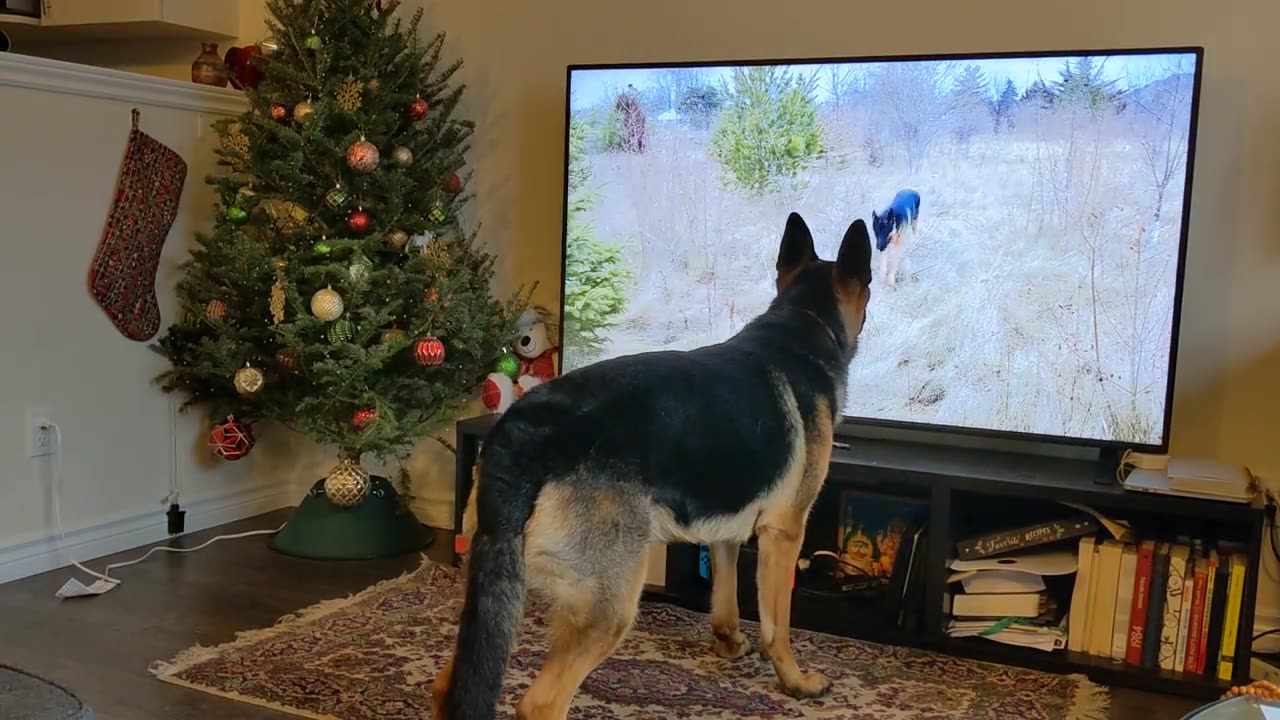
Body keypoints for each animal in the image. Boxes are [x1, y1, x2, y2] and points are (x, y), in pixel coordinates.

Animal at [435, 212, 875, 717]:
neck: (803, 321)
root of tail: (522, 431)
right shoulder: (785, 534)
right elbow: (777, 626)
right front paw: (796, 681)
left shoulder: (725, 531)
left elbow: (725, 596)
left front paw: (729, 643)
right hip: (608, 608)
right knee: (539, 704)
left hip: (499, 600)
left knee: (450, 687)